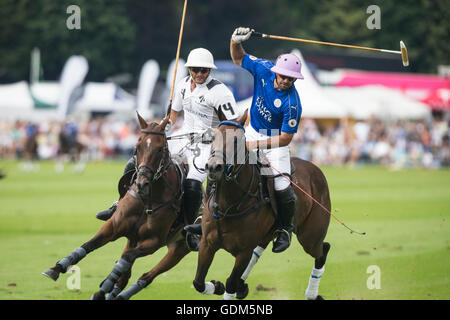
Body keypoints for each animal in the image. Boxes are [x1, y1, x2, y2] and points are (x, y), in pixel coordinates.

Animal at [42, 113, 195, 300]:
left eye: (160, 149)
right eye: (137, 146)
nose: (141, 184)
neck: (150, 198)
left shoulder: (153, 241)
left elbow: (125, 261)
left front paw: (103, 288)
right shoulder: (114, 226)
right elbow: (89, 245)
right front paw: (57, 267)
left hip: (178, 249)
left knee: (144, 276)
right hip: (133, 239)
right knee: (125, 274)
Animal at [192, 113, 330, 300]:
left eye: (237, 140)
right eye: (212, 138)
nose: (214, 167)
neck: (229, 204)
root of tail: (315, 168)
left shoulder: (244, 251)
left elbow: (230, 282)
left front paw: (226, 286)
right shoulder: (207, 244)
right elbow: (198, 282)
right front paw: (218, 286)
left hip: (310, 236)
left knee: (323, 250)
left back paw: (311, 293)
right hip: (270, 234)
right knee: (259, 251)